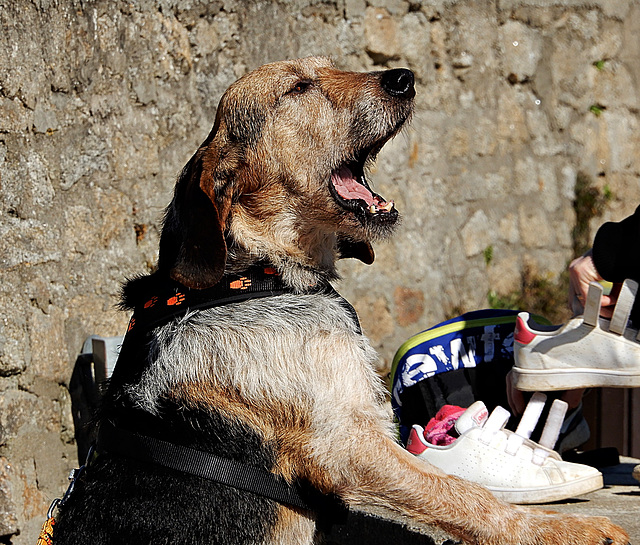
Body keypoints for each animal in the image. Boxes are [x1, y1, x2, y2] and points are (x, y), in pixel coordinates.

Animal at [51, 56, 632, 544]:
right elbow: (463, 494)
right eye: (299, 87)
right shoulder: (348, 445)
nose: (403, 78)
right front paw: (562, 531)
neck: (259, 274)